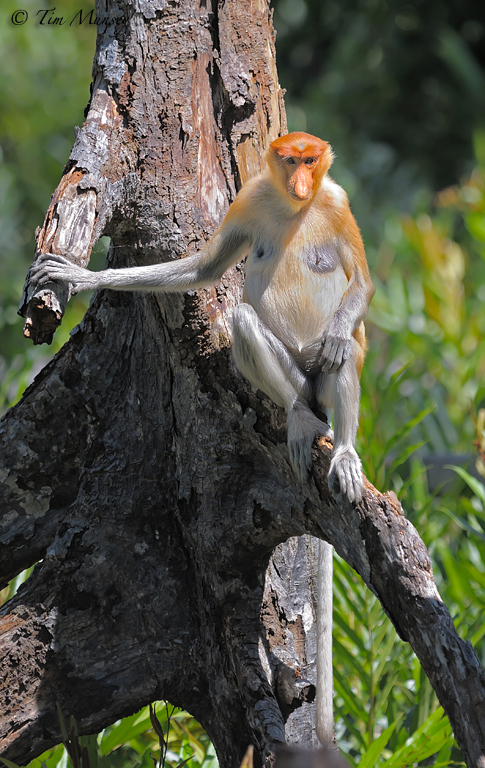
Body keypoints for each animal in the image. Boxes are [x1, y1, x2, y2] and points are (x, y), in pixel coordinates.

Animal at [32, 132, 374, 744]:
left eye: (312, 161)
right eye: (290, 161)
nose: (301, 181)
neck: (293, 208)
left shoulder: (337, 202)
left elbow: (360, 279)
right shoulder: (250, 201)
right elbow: (204, 267)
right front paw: (77, 278)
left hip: (327, 367)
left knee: (342, 354)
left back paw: (342, 448)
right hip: (291, 373)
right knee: (242, 318)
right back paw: (300, 418)